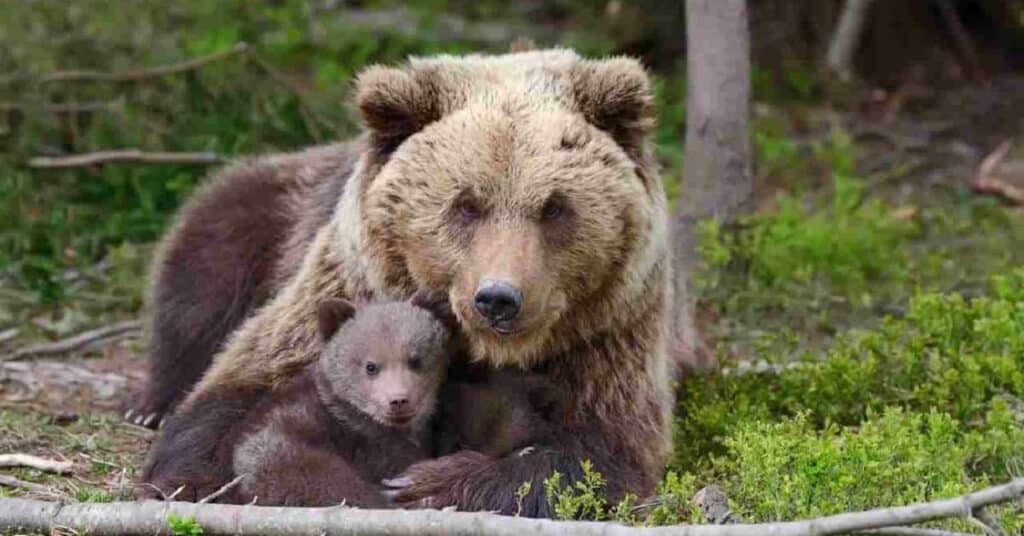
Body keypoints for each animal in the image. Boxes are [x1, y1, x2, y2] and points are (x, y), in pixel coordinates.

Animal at [134, 49, 679, 516]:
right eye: (466, 204)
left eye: (553, 207)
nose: (498, 299)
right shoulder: (348, 290)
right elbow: (231, 395)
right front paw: (194, 477)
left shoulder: (607, 335)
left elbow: (599, 452)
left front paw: (429, 485)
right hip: (270, 212)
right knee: (201, 278)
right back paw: (150, 405)